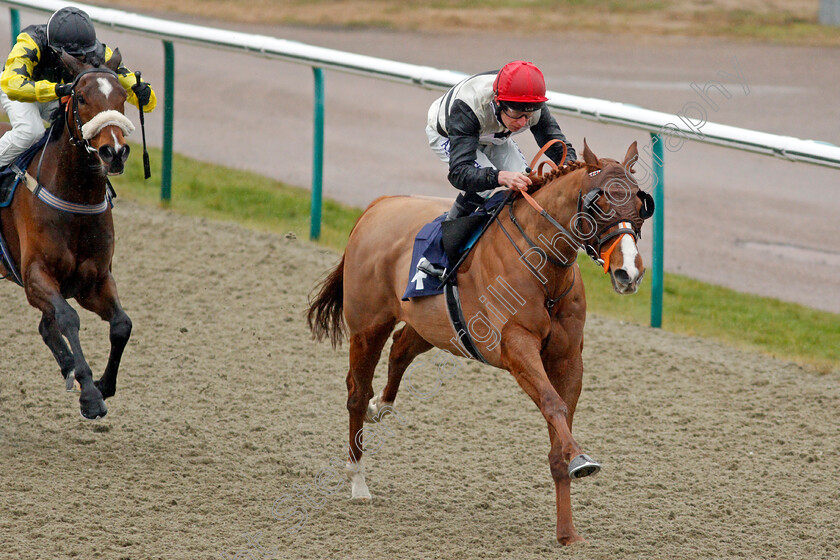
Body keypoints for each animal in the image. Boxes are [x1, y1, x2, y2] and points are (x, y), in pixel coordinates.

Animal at [0, 53, 135, 420]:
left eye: (123, 96)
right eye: (83, 97)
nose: (114, 152)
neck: (76, 198)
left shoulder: (94, 280)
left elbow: (122, 325)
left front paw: (103, 385)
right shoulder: (35, 275)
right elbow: (67, 318)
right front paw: (89, 394)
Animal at [308, 141, 656, 548]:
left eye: (640, 202)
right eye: (599, 203)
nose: (628, 272)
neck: (543, 265)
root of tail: (379, 205)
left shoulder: (568, 358)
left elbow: (559, 422)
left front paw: (567, 530)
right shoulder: (517, 348)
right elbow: (552, 404)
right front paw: (581, 460)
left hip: (434, 326)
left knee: (400, 348)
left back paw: (383, 406)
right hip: (368, 324)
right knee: (357, 393)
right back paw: (357, 479)